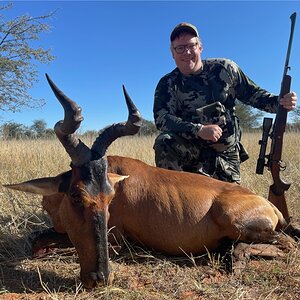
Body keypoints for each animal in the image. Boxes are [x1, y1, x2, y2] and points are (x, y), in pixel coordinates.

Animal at [2, 75, 296, 288]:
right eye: (76, 195)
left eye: (110, 198)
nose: (100, 279)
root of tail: (271, 206)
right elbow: (35, 240)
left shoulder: (116, 241)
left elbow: (43, 246)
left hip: (237, 221)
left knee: (286, 244)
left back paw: (235, 257)